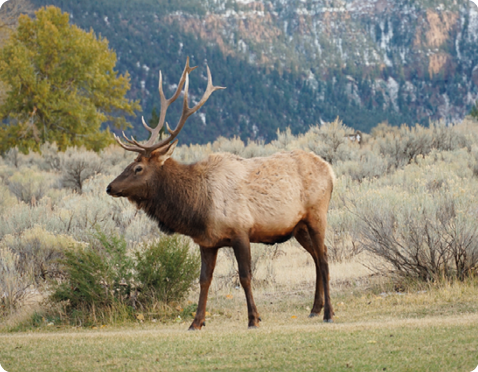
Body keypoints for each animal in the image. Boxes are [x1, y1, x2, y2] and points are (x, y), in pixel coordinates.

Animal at [106, 59, 334, 330]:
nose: (110, 187)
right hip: (298, 226)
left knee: (324, 258)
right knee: (317, 257)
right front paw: (196, 322)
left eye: (138, 168)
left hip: (317, 215)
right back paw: (315, 309)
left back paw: (329, 313)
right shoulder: (207, 241)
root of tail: (330, 171)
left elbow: (245, 276)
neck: (197, 208)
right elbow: (204, 279)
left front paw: (253, 318)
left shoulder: (241, 231)